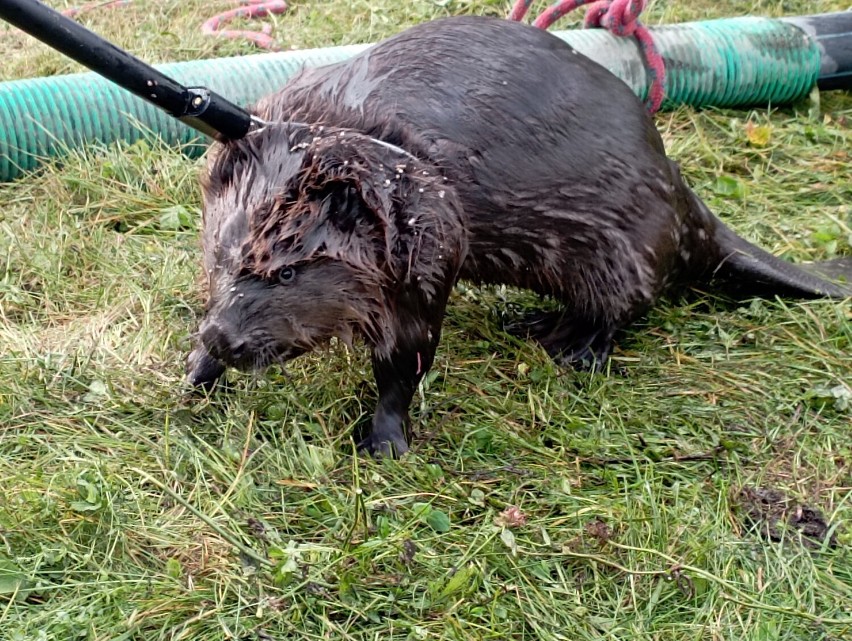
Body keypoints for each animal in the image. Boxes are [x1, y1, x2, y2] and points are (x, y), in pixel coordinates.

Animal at [185, 13, 844, 456]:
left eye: (287, 270)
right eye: (223, 258)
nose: (221, 338)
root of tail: (686, 200)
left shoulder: (430, 240)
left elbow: (408, 354)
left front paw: (383, 440)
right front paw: (197, 372)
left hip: (623, 245)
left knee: (624, 307)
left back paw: (570, 346)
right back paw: (527, 321)